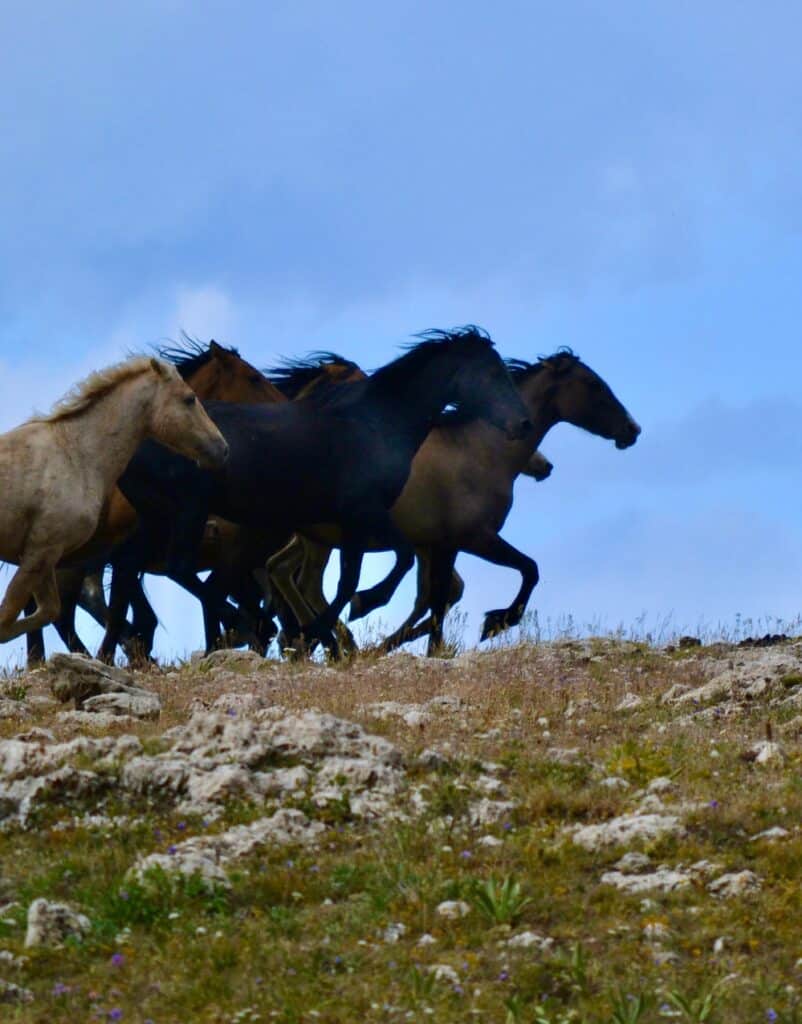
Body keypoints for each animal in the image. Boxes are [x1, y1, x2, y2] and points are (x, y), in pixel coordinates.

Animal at [0, 357, 227, 644]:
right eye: (189, 399)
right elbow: (7, 619)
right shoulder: (39, 552)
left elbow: (47, 611)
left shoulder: (45, 556)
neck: (75, 455)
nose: (222, 448)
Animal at [101, 327, 533, 656]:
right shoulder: (365, 514)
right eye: (491, 374)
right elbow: (400, 560)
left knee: (133, 569)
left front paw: (330, 632)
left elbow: (348, 582)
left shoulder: (353, 526)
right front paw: (356, 612)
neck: (377, 424)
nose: (522, 423)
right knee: (182, 571)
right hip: (190, 513)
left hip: (161, 520)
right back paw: (243, 627)